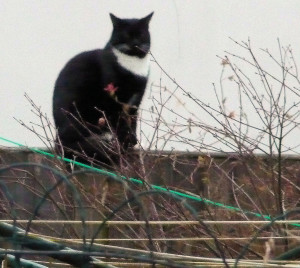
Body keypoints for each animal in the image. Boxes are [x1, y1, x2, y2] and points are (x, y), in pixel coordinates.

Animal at [52, 13, 154, 168]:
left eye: (141, 34)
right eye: (126, 34)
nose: (135, 43)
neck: (133, 66)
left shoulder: (136, 99)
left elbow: (132, 121)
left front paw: (132, 142)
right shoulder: (113, 99)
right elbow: (120, 122)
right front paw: (123, 144)